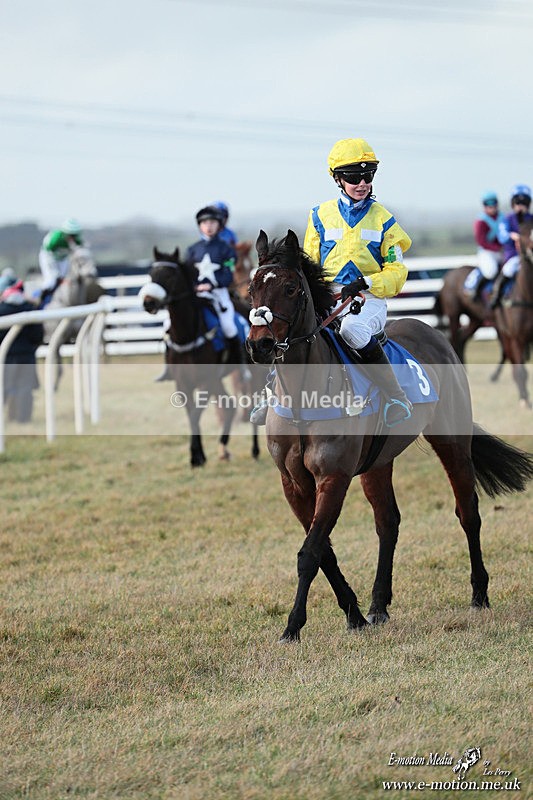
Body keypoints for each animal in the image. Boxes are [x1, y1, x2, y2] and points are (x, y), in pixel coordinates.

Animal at [141, 247, 260, 466]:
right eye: (151, 274)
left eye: (169, 275)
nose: (149, 302)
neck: (187, 335)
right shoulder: (182, 383)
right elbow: (191, 415)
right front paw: (197, 456)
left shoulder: (207, 381)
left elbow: (195, 414)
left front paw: (196, 454)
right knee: (229, 407)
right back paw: (223, 447)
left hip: (253, 375)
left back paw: (255, 450)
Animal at [246, 229, 533, 642]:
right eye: (251, 288)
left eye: (289, 287)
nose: (260, 344)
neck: (303, 398)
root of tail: (430, 331)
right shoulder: (293, 483)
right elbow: (324, 550)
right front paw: (354, 614)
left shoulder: (333, 478)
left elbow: (310, 553)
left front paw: (293, 625)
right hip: (377, 463)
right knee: (388, 522)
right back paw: (378, 605)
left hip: (451, 442)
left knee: (468, 511)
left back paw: (479, 594)